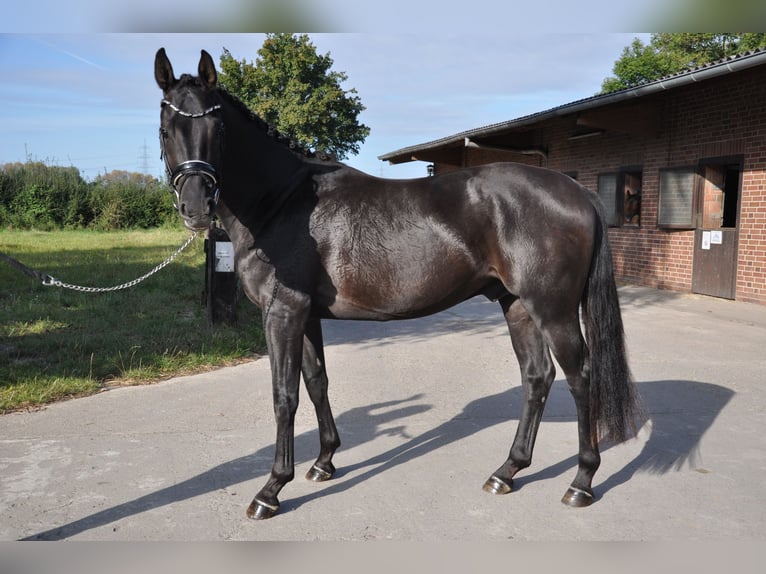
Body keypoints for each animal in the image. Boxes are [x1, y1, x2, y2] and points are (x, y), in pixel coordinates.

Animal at [153, 49, 644, 520]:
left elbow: (284, 395)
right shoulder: (304, 315)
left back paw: (581, 482)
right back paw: (507, 471)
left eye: (218, 128)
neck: (283, 203)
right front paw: (324, 462)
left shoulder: (283, 312)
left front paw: (271, 490)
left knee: (580, 377)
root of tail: (578, 193)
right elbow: (316, 381)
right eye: (166, 128)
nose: (196, 207)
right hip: (518, 305)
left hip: (553, 310)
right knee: (537, 377)